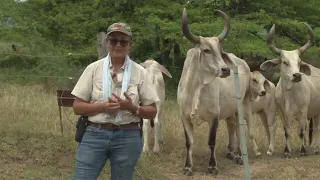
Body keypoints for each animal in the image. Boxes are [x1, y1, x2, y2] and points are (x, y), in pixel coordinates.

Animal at [178, 8, 252, 176]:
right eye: (206, 50)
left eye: (220, 51)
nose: (225, 70)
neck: (195, 88)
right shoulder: (184, 116)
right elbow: (188, 142)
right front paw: (188, 167)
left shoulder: (214, 116)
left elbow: (211, 141)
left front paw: (212, 166)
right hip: (230, 109)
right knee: (231, 126)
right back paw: (230, 152)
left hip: (242, 106)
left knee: (239, 128)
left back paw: (239, 155)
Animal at [260, 22, 318, 158]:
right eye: (285, 62)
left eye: (299, 62)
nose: (297, 75)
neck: (290, 93)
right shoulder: (283, 112)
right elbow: (287, 131)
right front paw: (287, 151)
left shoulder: (303, 111)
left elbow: (301, 131)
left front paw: (303, 151)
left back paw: (315, 148)